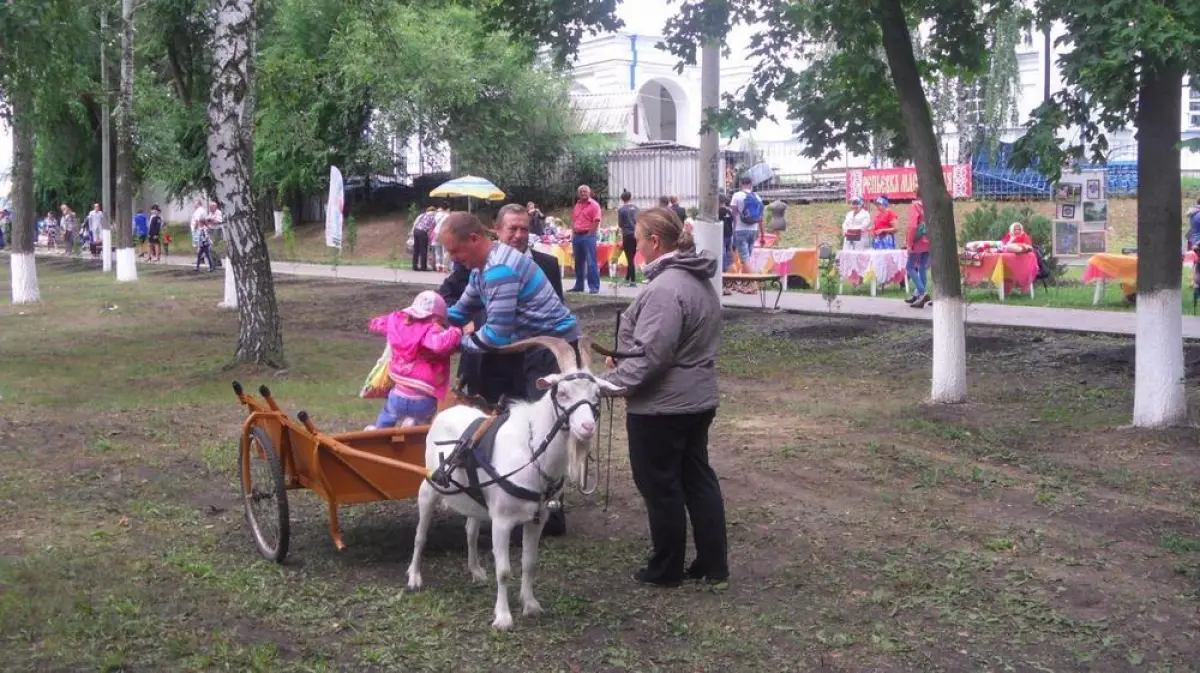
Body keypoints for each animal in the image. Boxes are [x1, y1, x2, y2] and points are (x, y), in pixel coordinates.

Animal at [405, 335, 624, 628]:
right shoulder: (502, 521)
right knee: (420, 535)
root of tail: (445, 412)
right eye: (562, 393)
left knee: (470, 529)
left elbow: (529, 563)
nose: (587, 428)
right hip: (430, 487)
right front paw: (503, 617)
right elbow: (504, 570)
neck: (531, 455)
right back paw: (414, 578)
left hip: (476, 500)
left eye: (596, 395)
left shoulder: (537, 520)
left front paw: (530, 605)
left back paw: (476, 571)